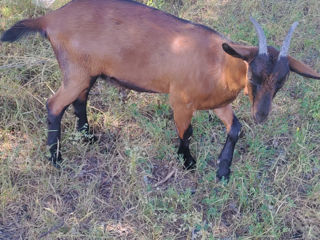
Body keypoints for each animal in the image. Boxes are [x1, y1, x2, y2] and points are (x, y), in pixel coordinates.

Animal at [1, 0, 318, 180]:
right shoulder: (180, 100)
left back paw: (88, 137)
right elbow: (187, 132)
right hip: (76, 72)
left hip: (86, 72)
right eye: (254, 73)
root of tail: (50, 19)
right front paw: (188, 162)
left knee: (80, 100)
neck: (219, 63)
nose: (262, 115)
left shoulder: (219, 103)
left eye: (282, 80)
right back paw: (56, 160)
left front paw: (223, 170)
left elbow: (236, 127)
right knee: (54, 105)